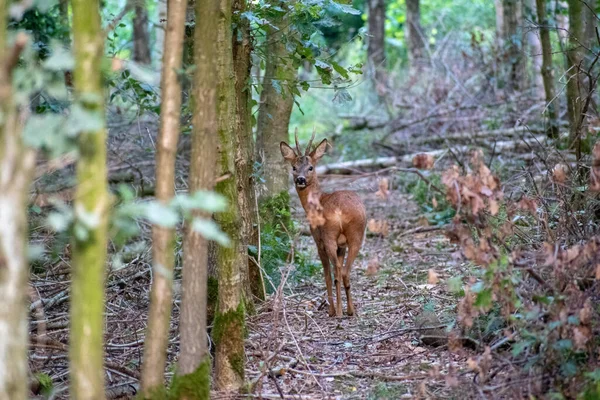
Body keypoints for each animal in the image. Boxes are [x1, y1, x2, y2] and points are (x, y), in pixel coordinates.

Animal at [280, 130, 366, 318]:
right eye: (294, 167)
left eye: (310, 167)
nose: (300, 179)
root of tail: (341, 211)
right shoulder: (342, 245)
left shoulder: (318, 240)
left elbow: (326, 274)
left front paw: (331, 310)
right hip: (357, 233)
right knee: (345, 271)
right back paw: (350, 310)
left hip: (329, 235)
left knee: (336, 272)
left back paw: (338, 311)